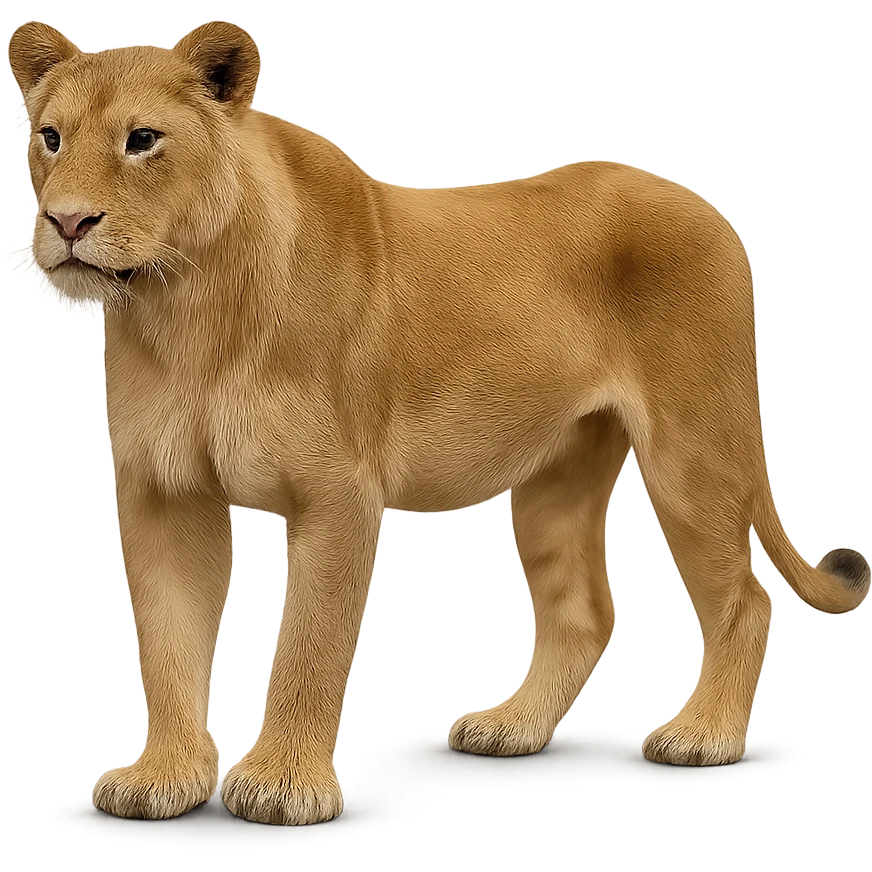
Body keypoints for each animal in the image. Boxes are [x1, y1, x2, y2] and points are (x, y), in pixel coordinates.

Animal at [9, 20, 869, 826]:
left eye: (142, 140)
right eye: (50, 137)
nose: (67, 222)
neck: (185, 305)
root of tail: (703, 202)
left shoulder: (338, 491)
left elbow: (308, 646)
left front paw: (282, 786)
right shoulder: (164, 492)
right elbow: (167, 644)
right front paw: (166, 780)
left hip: (693, 450)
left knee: (746, 600)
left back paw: (703, 735)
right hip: (555, 476)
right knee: (585, 611)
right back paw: (512, 727)